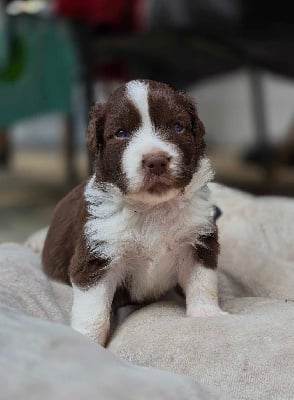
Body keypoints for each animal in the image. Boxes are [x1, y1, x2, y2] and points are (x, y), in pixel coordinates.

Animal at [42, 79, 225, 346]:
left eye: (177, 126)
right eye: (121, 133)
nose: (156, 161)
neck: (152, 209)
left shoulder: (197, 241)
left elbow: (203, 281)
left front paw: (206, 315)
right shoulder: (97, 256)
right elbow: (93, 312)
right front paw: (87, 342)